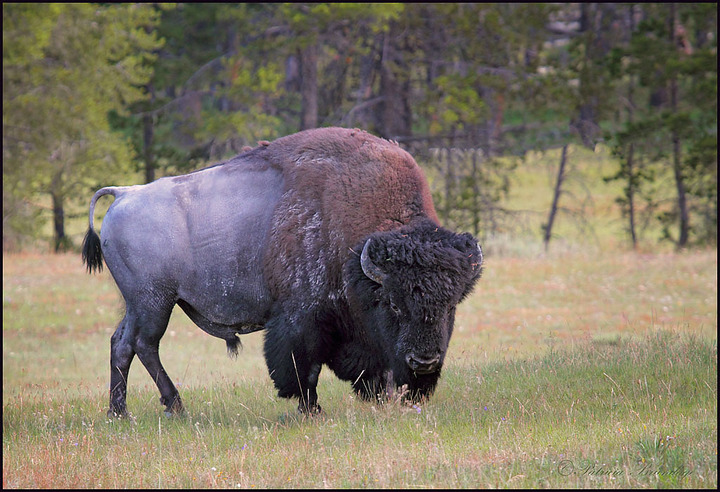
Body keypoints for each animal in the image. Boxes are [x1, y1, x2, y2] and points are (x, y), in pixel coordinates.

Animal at [82, 127, 483, 416]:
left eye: (450, 307)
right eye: (394, 305)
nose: (424, 362)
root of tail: (124, 194)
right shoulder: (302, 318)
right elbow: (302, 366)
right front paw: (311, 409)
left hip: (139, 305)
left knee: (122, 344)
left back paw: (120, 413)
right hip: (154, 303)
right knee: (144, 345)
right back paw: (174, 407)